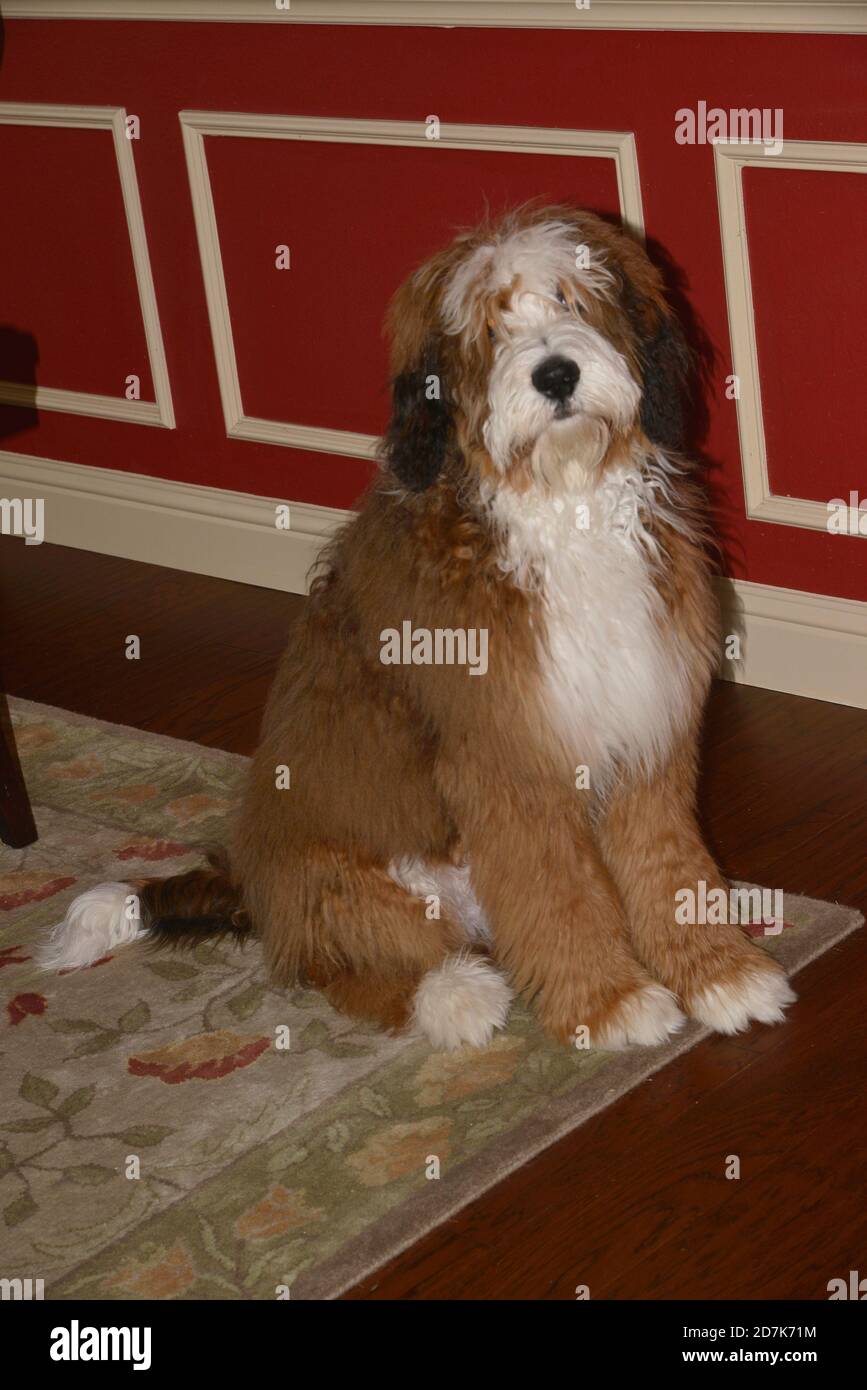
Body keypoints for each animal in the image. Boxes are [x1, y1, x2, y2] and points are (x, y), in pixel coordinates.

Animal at [44, 205, 794, 1045]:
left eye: (570, 300)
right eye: (490, 330)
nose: (556, 375)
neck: (562, 503)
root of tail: (251, 886)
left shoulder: (645, 725)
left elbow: (666, 862)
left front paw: (718, 974)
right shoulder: (507, 759)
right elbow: (556, 890)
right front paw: (610, 1001)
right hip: (345, 884)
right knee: (342, 968)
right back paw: (454, 996)